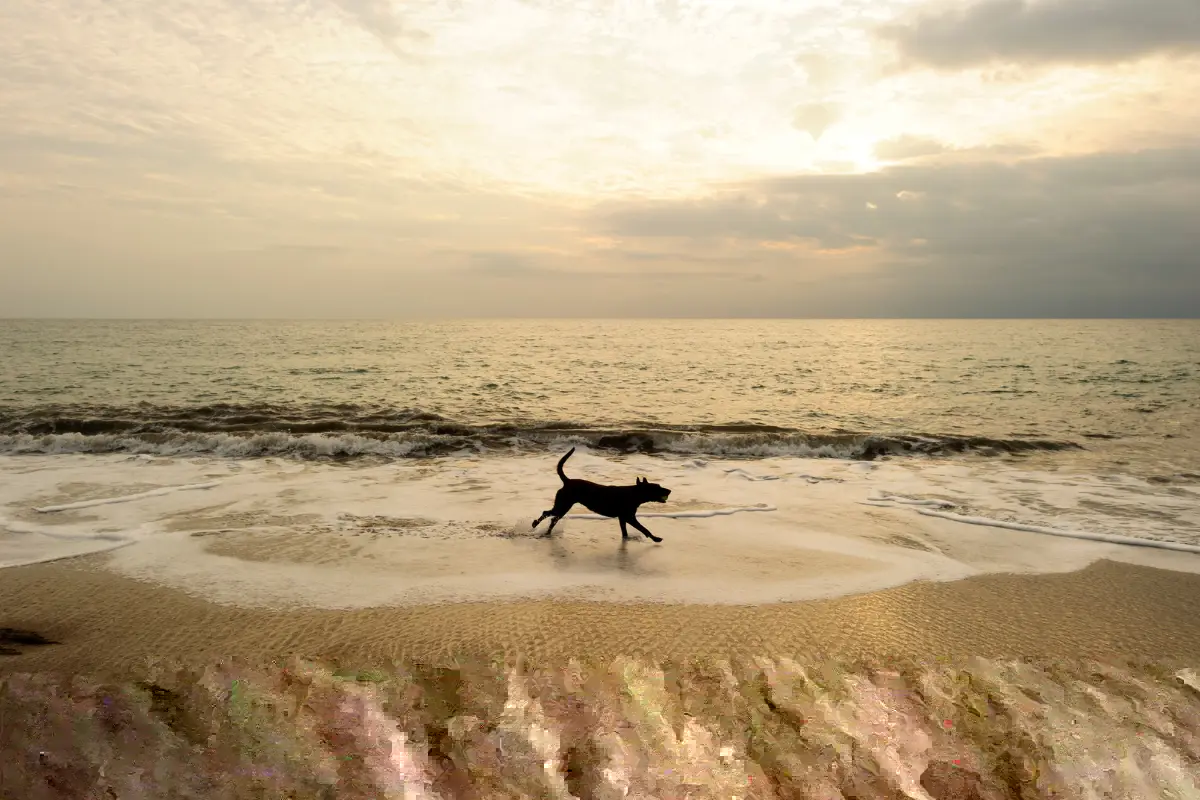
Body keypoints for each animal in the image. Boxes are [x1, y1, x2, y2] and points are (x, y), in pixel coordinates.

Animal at [532, 448, 672, 542]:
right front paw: (655, 538)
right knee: (548, 514)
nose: (669, 490)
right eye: (657, 488)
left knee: (551, 516)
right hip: (563, 505)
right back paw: (537, 525)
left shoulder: (622, 518)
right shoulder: (629, 517)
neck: (633, 494)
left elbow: (625, 531)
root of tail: (568, 481)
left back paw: (543, 529)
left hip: (563, 506)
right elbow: (644, 529)